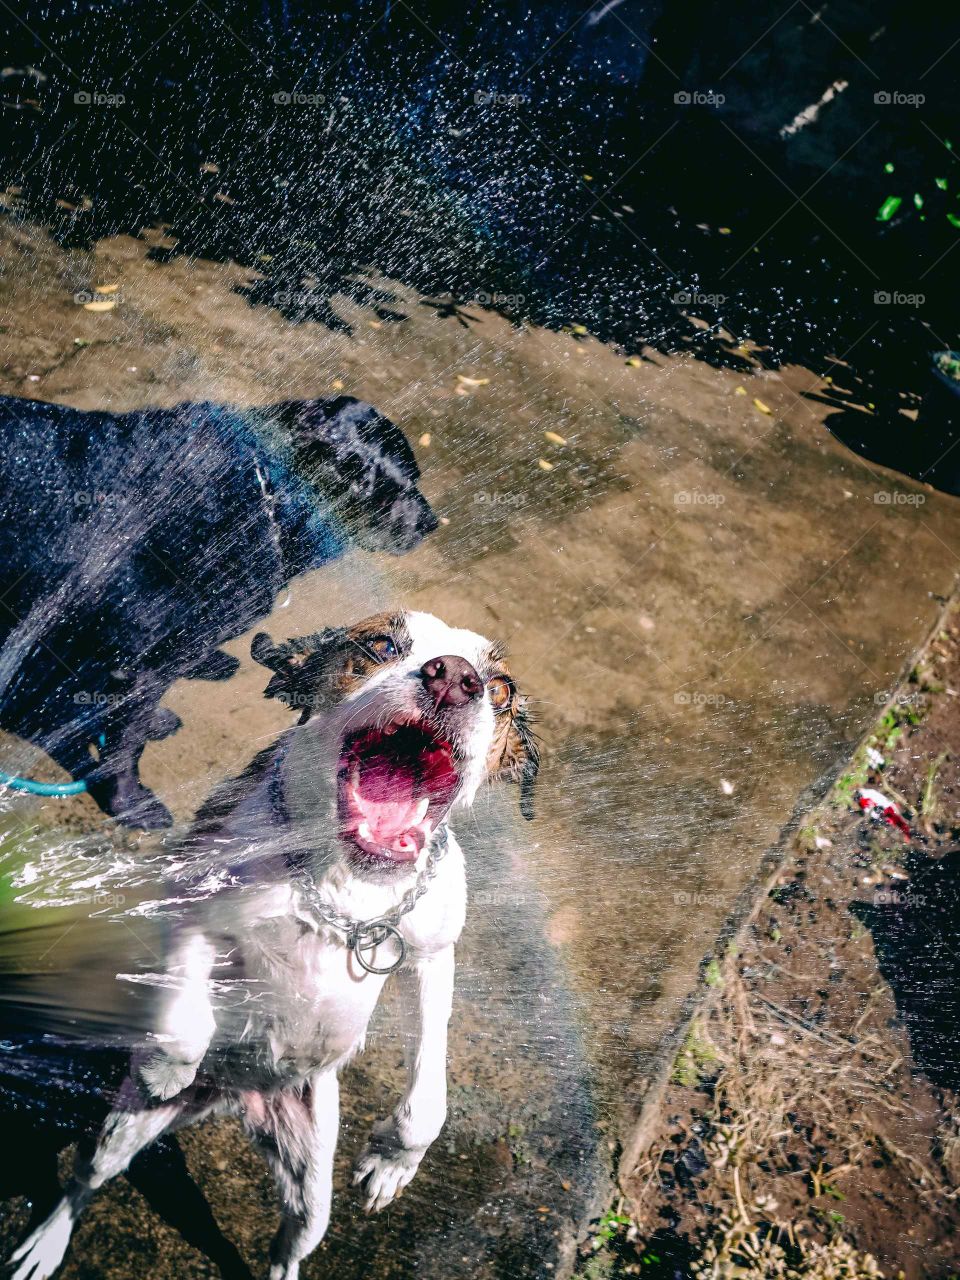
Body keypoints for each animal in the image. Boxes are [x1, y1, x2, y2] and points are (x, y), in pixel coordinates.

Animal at [0, 391, 435, 829]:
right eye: (395, 486)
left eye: (415, 477)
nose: (431, 523)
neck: (268, 497)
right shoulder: (148, 661)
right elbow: (126, 742)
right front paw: (130, 802)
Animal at [11, 609, 542, 1280]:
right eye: (380, 643)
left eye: (500, 687)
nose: (455, 678)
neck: (342, 880)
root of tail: (231, 1101)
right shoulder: (187, 897)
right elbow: (185, 1017)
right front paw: (167, 1064)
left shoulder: (432, 953)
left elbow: (430, 1080)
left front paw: (395, 1159)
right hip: (121, 1130)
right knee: (86, 1179)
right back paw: (49, 1238)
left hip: (310, 1179)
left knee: (291, 1243)